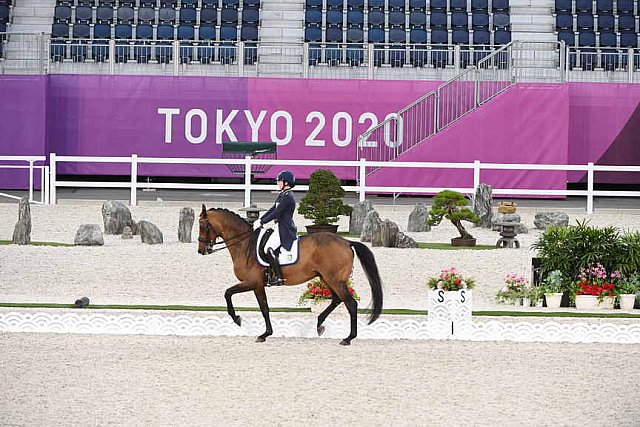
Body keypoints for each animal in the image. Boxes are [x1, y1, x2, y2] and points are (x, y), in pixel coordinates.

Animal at [198, 206, 382, 346]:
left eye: (204, 227)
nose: (201, 251)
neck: (245, 244)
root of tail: (347, 242)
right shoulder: (257, 285)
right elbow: (264, 308)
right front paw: (265, 333)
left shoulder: (253, 283)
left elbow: (230, 294)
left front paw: (239, 320)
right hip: (326, 278)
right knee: (336, 300)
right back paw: (320, 324)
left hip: (335, 280)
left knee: (350, 304)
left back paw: (348, 338)